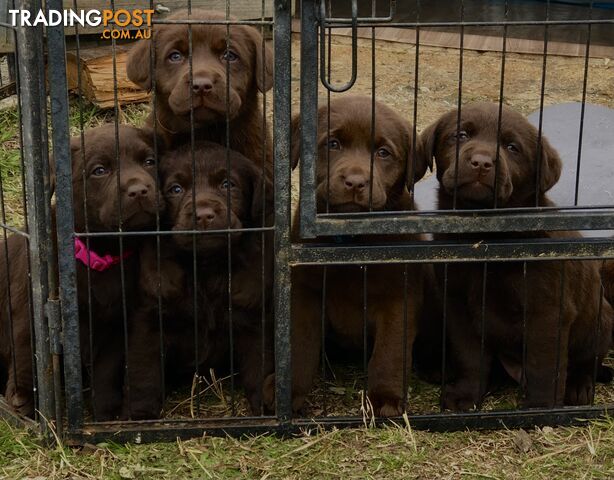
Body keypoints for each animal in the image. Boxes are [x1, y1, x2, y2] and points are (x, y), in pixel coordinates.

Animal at [0, 124, 162, 420]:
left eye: (149, 161)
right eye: (99, 170)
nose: (139, 190)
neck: (101, 253)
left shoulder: (116, 323)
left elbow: (108, 366)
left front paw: (106, 408)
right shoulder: (30, 303)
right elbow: (29, 348)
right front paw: (23, 396)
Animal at [122, 141, 272, 418]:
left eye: (227, 184)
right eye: (176, 189)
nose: (203, 215)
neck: (206, 267)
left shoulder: (254, 313)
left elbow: (260, 364)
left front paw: (267, 406)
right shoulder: (149, 317)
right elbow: (142, 371)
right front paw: (139, 415)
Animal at [262, 96, 430, 416]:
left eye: (383, 153)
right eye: (333, 144)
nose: (355, 182)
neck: (352, 235)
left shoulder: (399, 294)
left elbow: (391, 349)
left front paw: (385, 398)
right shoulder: (304, 291)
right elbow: (298, 344)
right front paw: (287, 393)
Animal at [416, 103, 612, 410]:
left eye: (512, 147)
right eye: (460, 135)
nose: (481, 163)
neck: (485, 237)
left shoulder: (547, 312)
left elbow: (544, 366)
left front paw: (539, 408)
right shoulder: (458, 306)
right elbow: (469, 356)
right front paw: (466, 395)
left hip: (601, 320)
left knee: (585, 362)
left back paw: (579, 387)